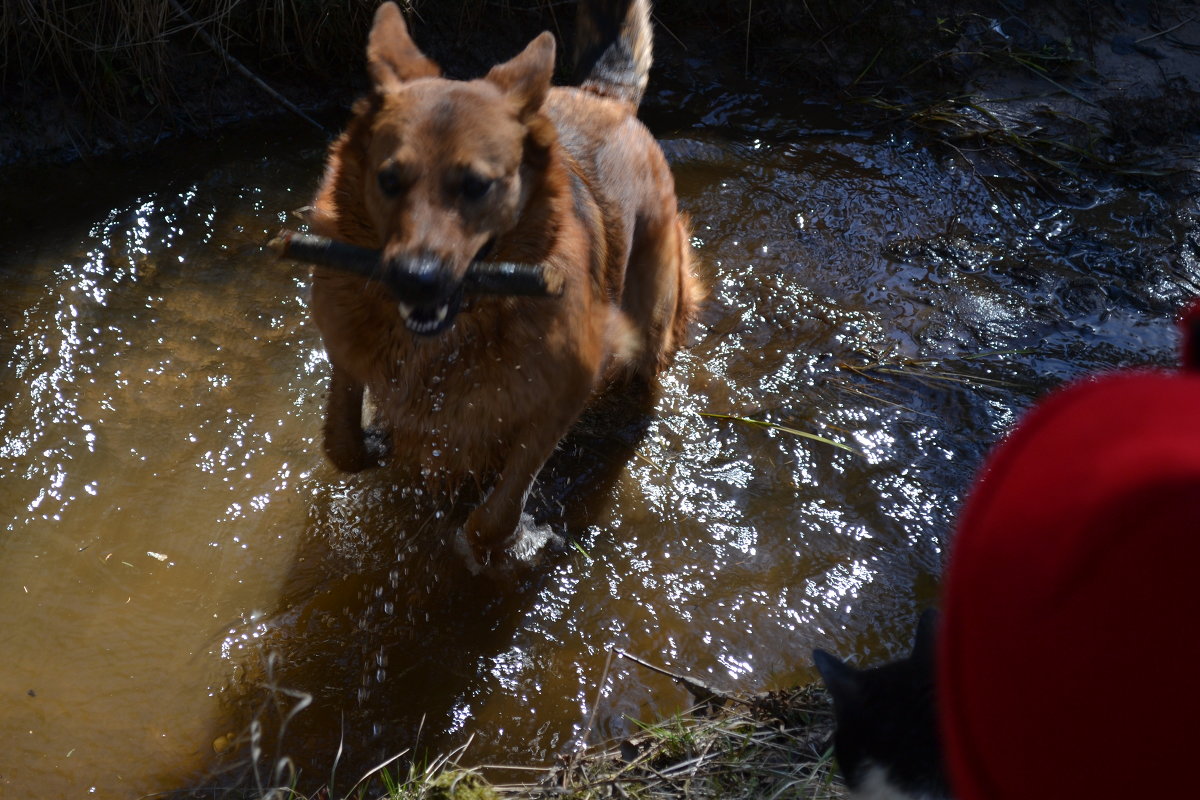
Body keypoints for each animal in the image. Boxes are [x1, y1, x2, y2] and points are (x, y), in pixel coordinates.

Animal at [304, 0, 700, 568]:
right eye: (389, 180)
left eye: (476, 186)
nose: (415, 278)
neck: (455, 332)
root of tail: (604, 99)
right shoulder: (344, 338)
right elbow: (342, 443)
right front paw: (376, 440)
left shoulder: (559, 398)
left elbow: (492, 519)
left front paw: (508, 543)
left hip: (651, 323)